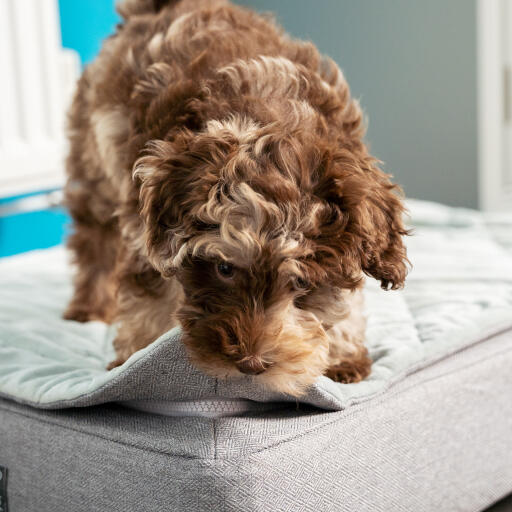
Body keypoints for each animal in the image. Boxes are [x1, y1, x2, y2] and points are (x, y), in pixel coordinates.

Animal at [64, 0, 408, 396]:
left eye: (303, 283)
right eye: (225, 269)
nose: (250, 364)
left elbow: (346, 300)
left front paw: (342, 356)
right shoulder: (147, 229)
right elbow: (152, 296)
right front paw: (137, 357)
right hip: (95, 162)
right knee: (95, 239)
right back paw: (89, 307)